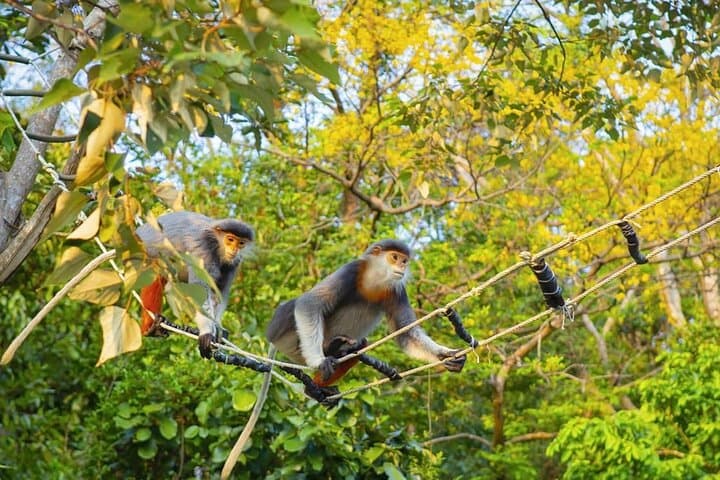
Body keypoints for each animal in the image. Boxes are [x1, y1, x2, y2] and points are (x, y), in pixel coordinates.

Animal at [135, 211, 254, 358]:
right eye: (230, 240)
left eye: (241, 243)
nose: (234, 250)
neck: (217, 244)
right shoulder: (203, 251)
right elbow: (200, 289)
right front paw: (207, 332)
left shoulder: (234, 263)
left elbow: (219, 293)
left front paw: (218, 329)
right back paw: (150, 326)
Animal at [266, 239, 466, 386]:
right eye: (394, 257)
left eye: (404, 260)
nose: (402, 267)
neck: (373, 281)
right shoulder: (352, 269)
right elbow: (309, 303)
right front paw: (319, 361)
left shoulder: (396, 290)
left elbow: (407, 334)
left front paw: (445, 355)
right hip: (286, 338)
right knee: (292, 306)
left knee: (359, 344)